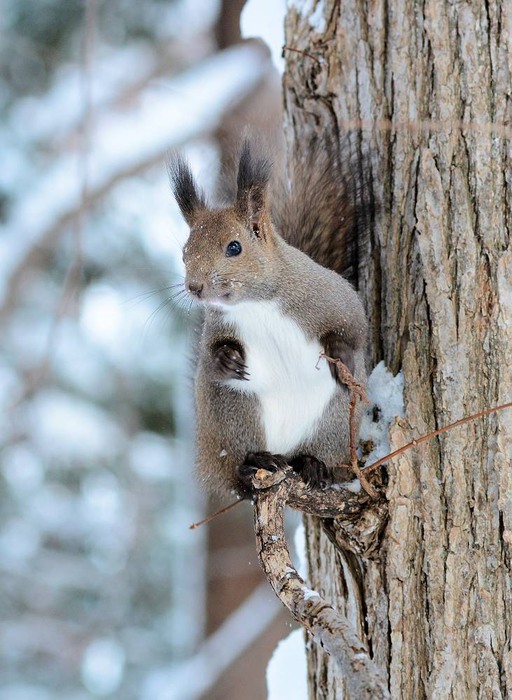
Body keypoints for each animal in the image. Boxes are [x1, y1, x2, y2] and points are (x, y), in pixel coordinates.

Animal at [170, 138, 370, 498]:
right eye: (184, 253)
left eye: (234, 247)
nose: (195, 287)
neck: (254, 304)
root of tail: (284, 453)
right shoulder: (216, 324)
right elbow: (208, 356)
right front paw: (224, 360)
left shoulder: (330, 295)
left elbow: (356, 325)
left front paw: (340, 353)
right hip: (234, 414)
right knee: (236, 478)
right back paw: (255, 462)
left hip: (331, 423)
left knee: (318, 456)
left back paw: (312, 464)